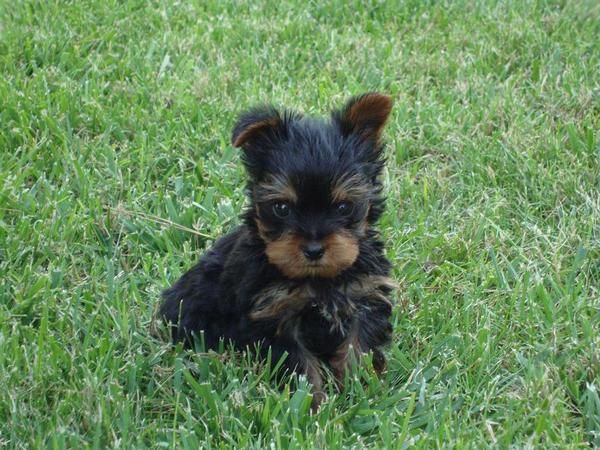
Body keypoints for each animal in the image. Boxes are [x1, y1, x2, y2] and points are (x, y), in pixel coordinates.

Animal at [161, 93, 394, 410]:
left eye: (344, 207)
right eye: (281, 208)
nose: (313, 249)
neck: (318, 280)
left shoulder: (366, 297)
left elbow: (359, 348)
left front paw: (358, 391)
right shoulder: (274, 314)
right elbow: (299, 364)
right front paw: (312, 405)